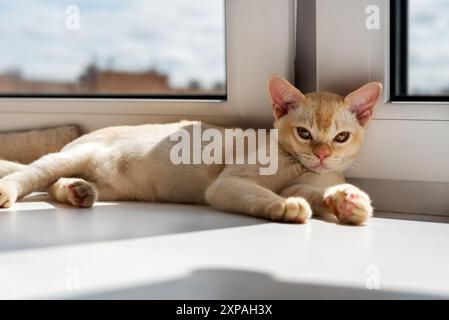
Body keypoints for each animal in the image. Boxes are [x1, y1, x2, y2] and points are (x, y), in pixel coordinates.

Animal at [0, 75, 382, 225]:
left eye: (341, 138)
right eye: (304, 133)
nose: (321, 155)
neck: (300, 167)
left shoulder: (309, 182)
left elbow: (317, 193)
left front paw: (349, 202)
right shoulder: (228, 184)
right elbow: (264, 195)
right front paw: (286, 206)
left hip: (108, 185)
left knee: (55, 184)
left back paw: (77, 191)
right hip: (71, 156)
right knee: (33, 172)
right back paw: (10, 190)